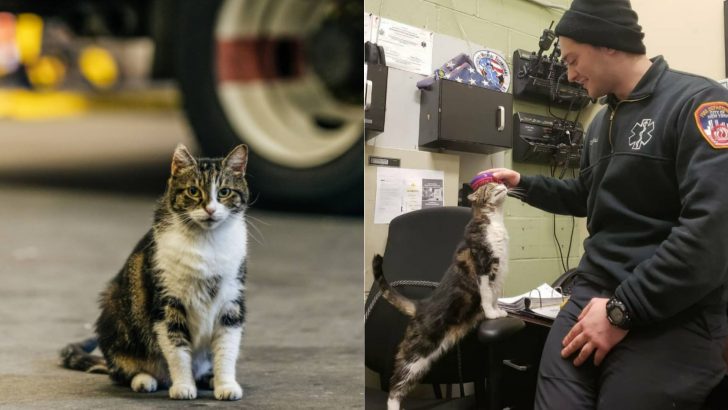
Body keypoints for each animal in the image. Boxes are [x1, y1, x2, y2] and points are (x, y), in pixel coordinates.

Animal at [58, 143, 250, 400]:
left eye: (225, 192)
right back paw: (145, 379)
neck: (207, 242)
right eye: (193, 191)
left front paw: (226, 385)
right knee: (121, 371)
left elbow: (227, 348)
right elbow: (177, 349)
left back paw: (208, 378)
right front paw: (183, 386)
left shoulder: (232, 302)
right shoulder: (167, 303)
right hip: (112, 314)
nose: (210, 209)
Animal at [370, 176, 512, 410]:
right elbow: (486, 296)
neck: (494, 221)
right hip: (416, 354)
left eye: (499, 182)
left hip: (424, 361)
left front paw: (498, 311)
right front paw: (491, 314)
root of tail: (420, 306)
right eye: (490, 186)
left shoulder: (499, 274)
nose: (503, 184)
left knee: (403, 383)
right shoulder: (483, 268)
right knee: (396, 383)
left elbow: (495, 297)